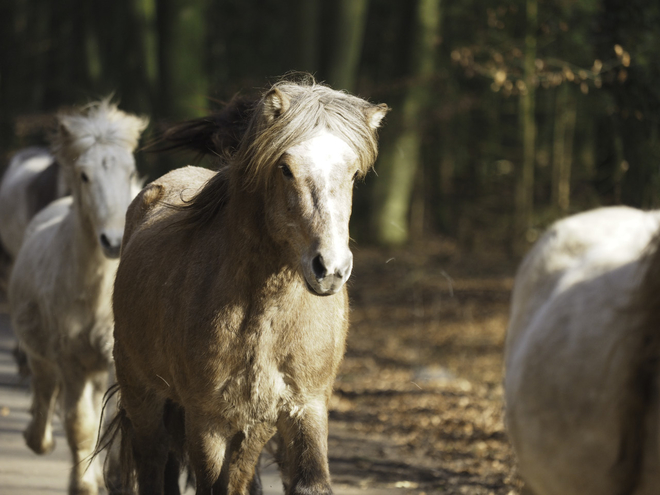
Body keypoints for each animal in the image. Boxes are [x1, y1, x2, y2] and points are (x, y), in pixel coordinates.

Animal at [8, 100, 148, 495]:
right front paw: (83, 484)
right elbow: (78, 423)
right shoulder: (70, 359)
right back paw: (38, 439)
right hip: (45, 354)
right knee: (44, 387)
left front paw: (111, 477)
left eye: (130, 171)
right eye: (84, 175)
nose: (113, 242)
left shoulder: (118, 360)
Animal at [107, 79, 386, 494]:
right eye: (285, 168)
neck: (265, 317)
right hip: (142, 393)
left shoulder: (299, 407)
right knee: (154, 462)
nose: (331, 269)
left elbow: (305, 481)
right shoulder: (207, 420)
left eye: (352, 175)